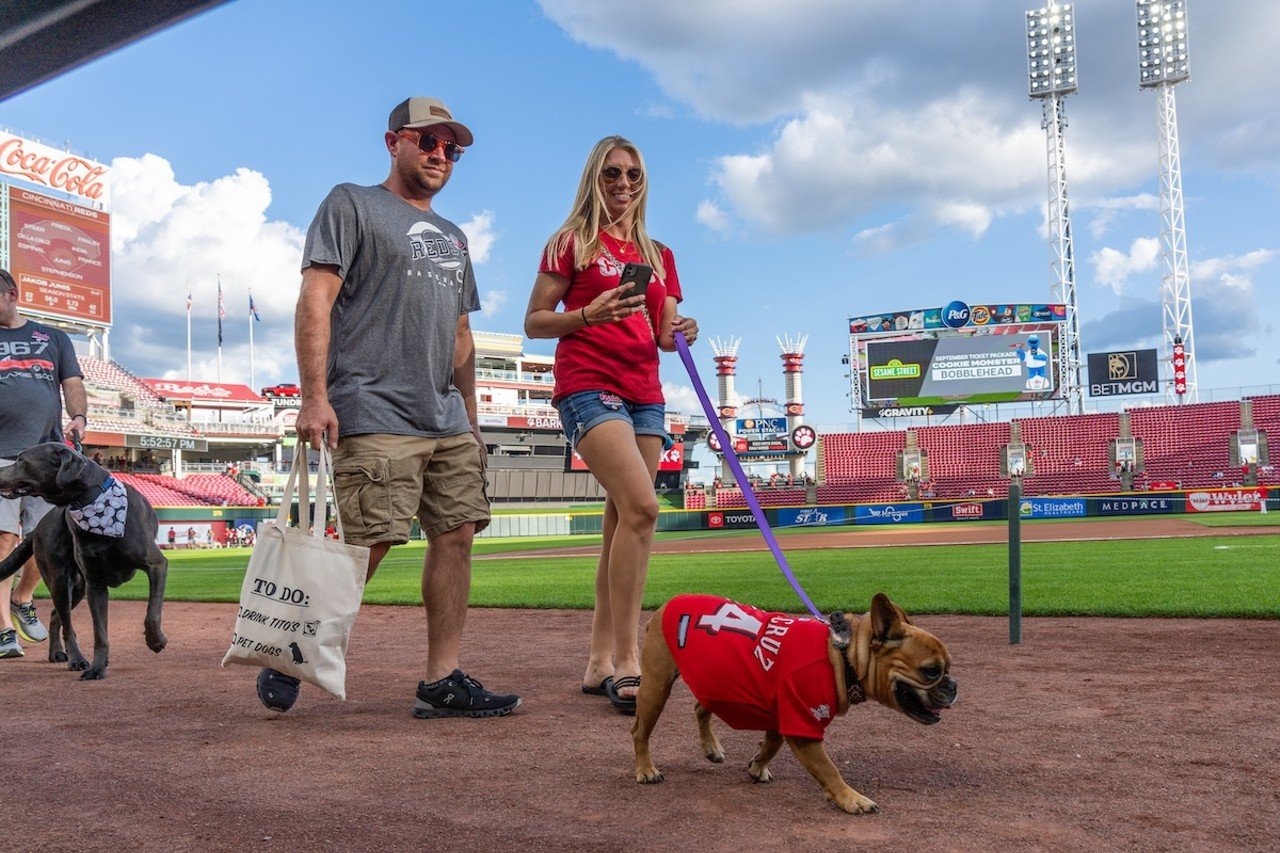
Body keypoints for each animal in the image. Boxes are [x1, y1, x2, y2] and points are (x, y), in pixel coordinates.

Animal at [0, 440, 167, 681]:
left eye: (21, 460)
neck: (91, 501)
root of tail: (38, 527)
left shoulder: (156, 565)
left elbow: (152, 613)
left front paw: (155, 640)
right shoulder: (95, 585)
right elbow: (100, 634)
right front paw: (97, 668)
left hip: (77, 587)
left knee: (56, 615)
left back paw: (57, 653)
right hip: (60, 580)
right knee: (66, 623)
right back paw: (75, 658)